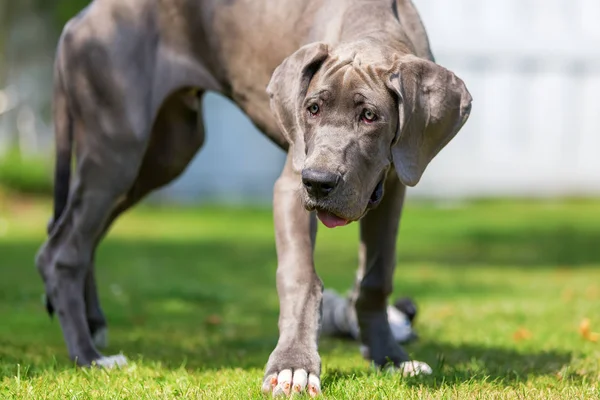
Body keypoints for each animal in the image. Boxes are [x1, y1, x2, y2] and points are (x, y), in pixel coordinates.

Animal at [35, 0, 472, 396]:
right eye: (312, 108)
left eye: (370, 116)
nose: (318, 182)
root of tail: (78, 20)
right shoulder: (291, 186)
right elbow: (300, 276)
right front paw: (294, 367)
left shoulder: (394, 181)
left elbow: (376, 277)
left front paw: (389, 358)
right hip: (117, 147)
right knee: (64, 249)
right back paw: (89, 356)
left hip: (164, 153)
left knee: (75, 236)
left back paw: (93, 325)